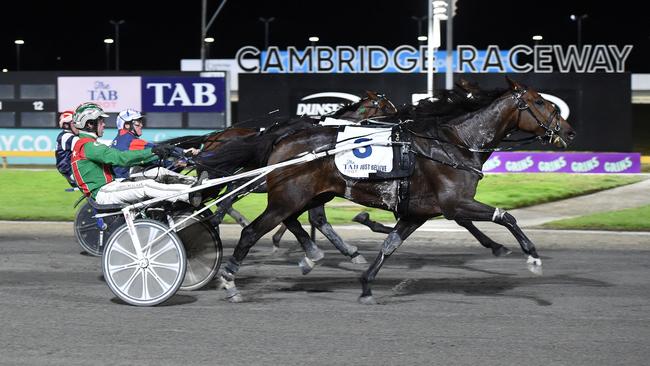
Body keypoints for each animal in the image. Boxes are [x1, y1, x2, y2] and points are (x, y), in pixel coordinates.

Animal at [215, 78, 576, 304]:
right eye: (540, 102)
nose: (569, 131)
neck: (455, 144)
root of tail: (281, 140)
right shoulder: (456, 202)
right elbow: (506, 217)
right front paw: (531, 256)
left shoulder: (418, 212)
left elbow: (390, 245)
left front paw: (366, 286)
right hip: (289, 196)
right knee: (251, 231)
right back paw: (229, 280)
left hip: (306, 196)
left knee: (296, 220)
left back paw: (310, 256)